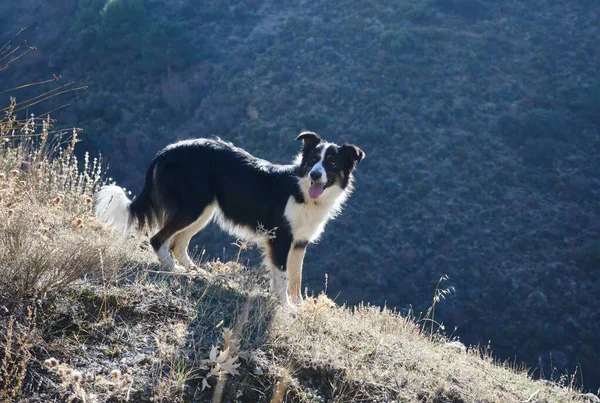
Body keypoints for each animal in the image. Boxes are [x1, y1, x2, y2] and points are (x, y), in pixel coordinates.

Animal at [94, 133, 366, 306]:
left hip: (202, 211)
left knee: (177, 243)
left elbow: (296, 277)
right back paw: (172, 269)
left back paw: (195, 271)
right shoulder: (280, 238)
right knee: (159, 239)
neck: (302, 191)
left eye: (331, 163)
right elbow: (282, 275)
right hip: (192, 208)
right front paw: (285, 306)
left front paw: (297, 306)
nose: (315, 175)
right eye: (312, 161)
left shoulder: (299, 242)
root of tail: (166, 151)